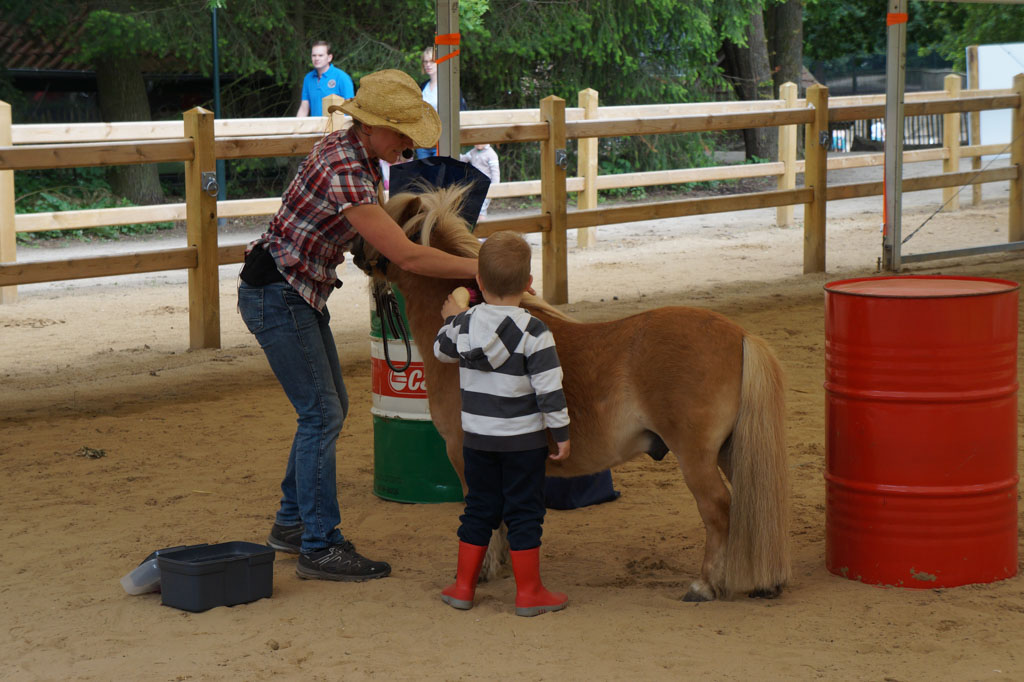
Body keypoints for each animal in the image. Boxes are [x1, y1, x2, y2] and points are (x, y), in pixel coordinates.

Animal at [354, 186, 790, 602]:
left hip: (696, 457)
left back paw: (704, 585)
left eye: (384, 220)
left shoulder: (467, 454)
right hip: (731, 450)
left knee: (719, 510)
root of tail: (741, 335)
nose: (354, 251)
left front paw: (481, 572)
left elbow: (485, 514)